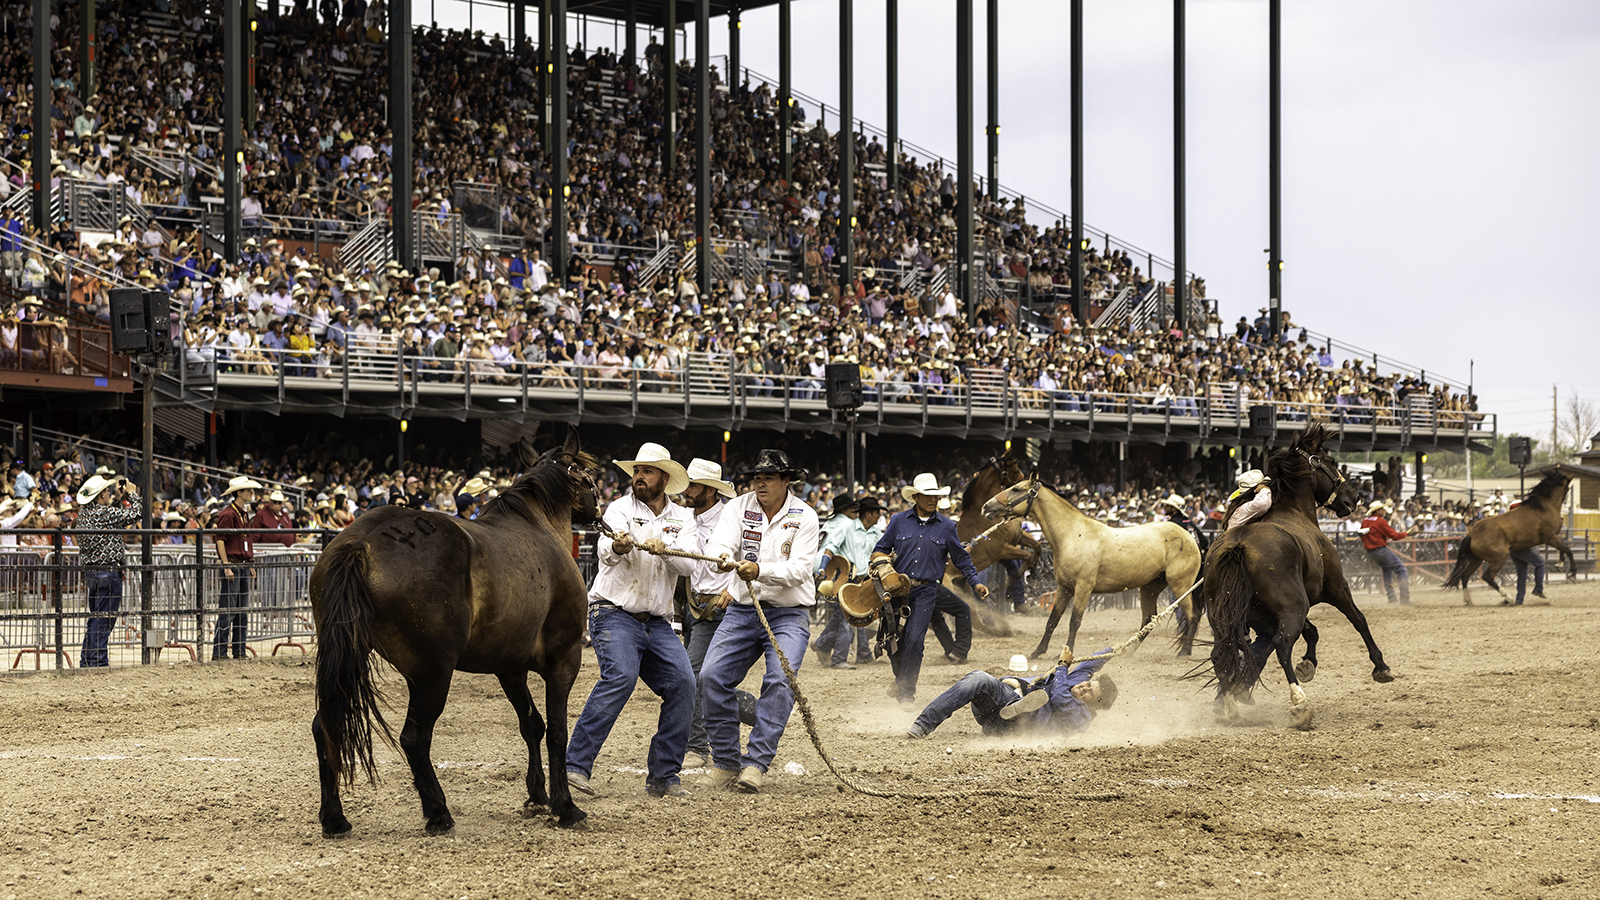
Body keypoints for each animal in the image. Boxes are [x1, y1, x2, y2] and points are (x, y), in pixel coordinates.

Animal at [308, 425, 598, 832]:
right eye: (588, 476)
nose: (599, 507)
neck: (537, 525)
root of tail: (361, 542)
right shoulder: (564, 659)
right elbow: (557, 731)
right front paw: (565, 806)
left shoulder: (509, 668)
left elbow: (532, 725)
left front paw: (537, 795)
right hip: (432, 674)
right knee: (414, 739)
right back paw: (438, 812)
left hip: (350, 658)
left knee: (327, 726)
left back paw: (335, 817)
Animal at [972, 474, 1203, 656]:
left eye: (1016, 489)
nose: (985, 507)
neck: (1073, 534)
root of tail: (1190, 538)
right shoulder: (1064, 588)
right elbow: (1053, 620)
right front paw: (1038, 651)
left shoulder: (1083, 587)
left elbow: (1074, 621)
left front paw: (1067, 652)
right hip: (1150, 587)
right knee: (1149, 619)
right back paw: (1129, 652)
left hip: (1180, 585)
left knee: (1192, 615)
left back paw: (1184, 651)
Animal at [1190, 422, 1401, 730]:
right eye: (1329, 461)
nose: (1353, 498)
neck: (1294, 511)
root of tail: (1238, 545)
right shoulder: (1335, 587)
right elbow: (1358, 619)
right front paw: (1381, 667)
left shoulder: (1272, 614)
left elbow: (1310, 631)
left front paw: (1307, 665)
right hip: (1293, 606)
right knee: (1281, 645)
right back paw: (1299, 704)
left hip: (1228, 615)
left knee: (1225, 652)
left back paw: (1231, 705)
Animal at [1440, 470, 1574, 602]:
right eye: (1567, 489)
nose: (1567, 502)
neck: (1544, 507)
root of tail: (1472, 534)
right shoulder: (1550, 537)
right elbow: (1567, 549)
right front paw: (1571, 573)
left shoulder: (1552, 538)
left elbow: (1562, 548)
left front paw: (1559, 564)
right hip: (1500, 558)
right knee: (1487, 577)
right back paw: (1507, 597)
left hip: (1475, 560)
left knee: (1465, 576)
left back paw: (1469, 600)